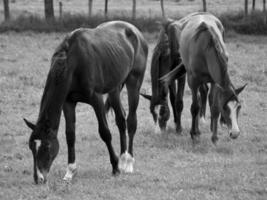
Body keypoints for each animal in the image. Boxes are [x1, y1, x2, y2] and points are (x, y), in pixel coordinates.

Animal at [23, 21, 149, 184]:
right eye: (31, 147)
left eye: (47, 146)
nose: (38, 178)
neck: (72, 62)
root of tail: (134, 30)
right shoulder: (68, 102)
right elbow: (70, 135)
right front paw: (70, 171)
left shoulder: (96, 99)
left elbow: (105, 133)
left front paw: (115, 168)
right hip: (114, 88)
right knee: (121, 120)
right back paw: (123, 158)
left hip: (134, 82)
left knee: (131, 121)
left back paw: (127, 163)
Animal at [159, 12, 247, 143]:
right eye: (225, 108)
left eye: (239, 107)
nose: (235, 133)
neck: (206, 49)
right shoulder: (193, 81)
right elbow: (194, 107)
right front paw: (194, 134)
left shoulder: (215, 81)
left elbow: (214, 106)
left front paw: (214, 136)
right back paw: (194, 130)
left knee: (205, 94)